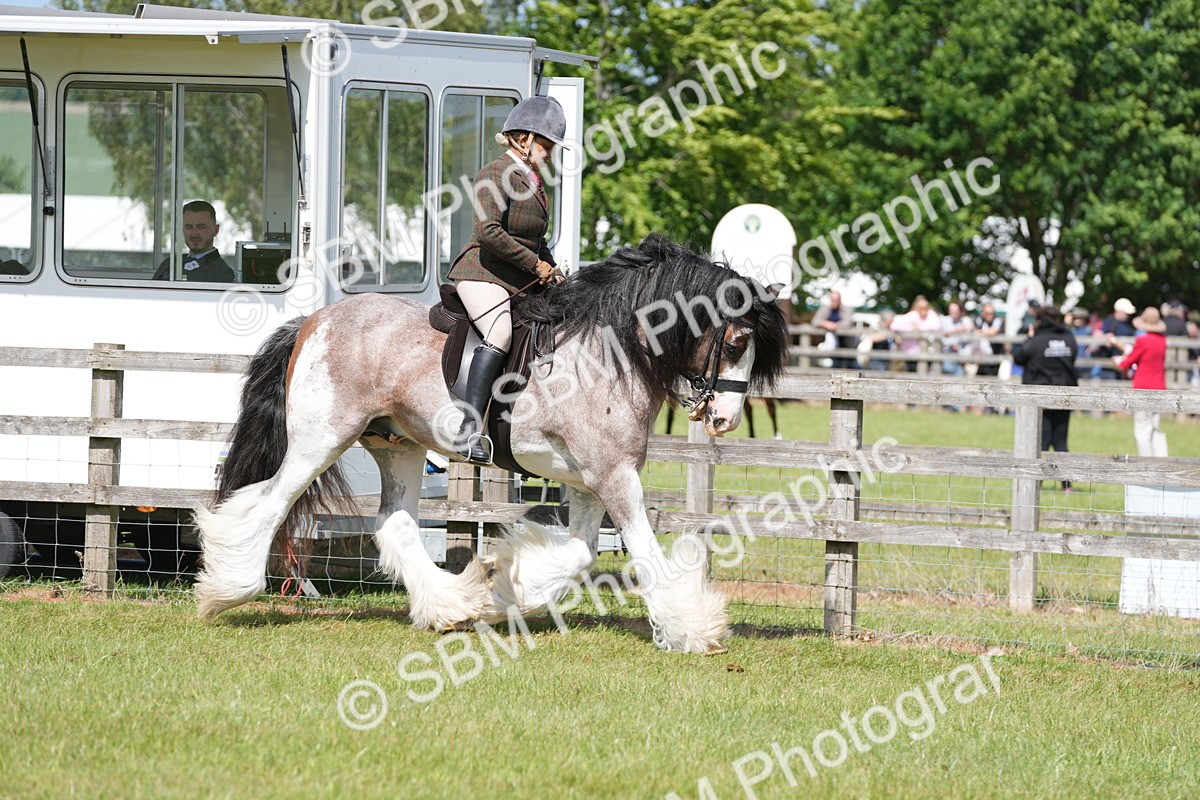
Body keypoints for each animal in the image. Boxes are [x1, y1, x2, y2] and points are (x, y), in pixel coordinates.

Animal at [194, 235, 788, 654]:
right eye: (737, 341)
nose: (725, 419)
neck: (609, 350)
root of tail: (313, 320)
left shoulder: (592, 480)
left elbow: (580, 552)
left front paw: (505, 592)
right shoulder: (615, 476)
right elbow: (641, 552)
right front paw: (692, 630)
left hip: (398, 444)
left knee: (394, 524)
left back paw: (453, 605)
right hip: (321, 441)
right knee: (269, 505)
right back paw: (228, 588)